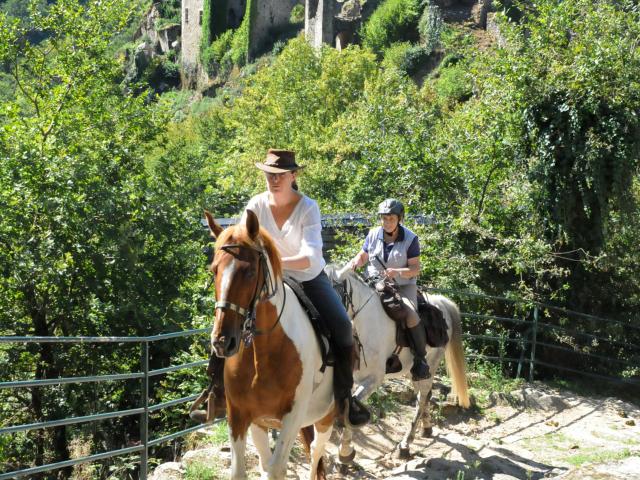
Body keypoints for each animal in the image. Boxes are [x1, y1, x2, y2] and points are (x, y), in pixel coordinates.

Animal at [204, 211, 336, 480]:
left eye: (250, 273)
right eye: (214, 270)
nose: (222, 341)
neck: (263, 352)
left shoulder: (293, 416)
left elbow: (276, 468)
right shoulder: (241, 415)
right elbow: (246, 470)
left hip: (326, 416)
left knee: (316, 453)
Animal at [324, 264, 470, 460]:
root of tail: (441, 302)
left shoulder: (374, 379)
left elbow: (351, 407)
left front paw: (345, 453)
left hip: (428, 367)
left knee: (421, 398)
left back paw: (405, 444)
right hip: (413, 372)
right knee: (425, 396)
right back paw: (426, 428)